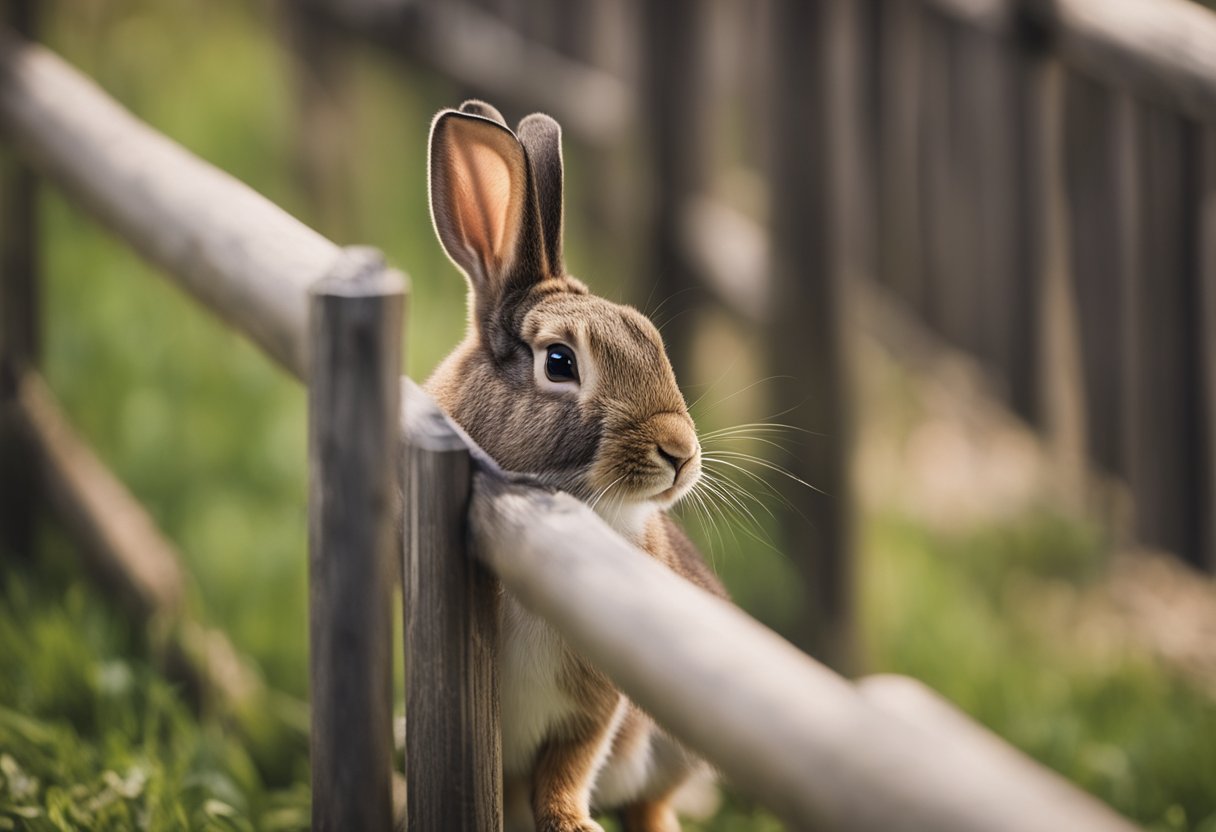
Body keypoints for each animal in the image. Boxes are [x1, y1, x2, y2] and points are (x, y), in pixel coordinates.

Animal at [428, 99, 724, 832]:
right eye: (560, 362)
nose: (680, 453)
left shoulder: (595, 707)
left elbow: (568, 764)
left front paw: (571, 822)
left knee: (651, 800)